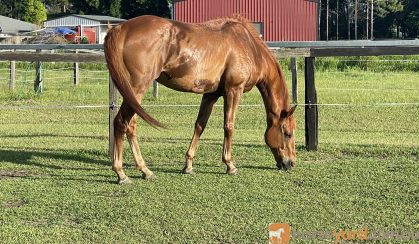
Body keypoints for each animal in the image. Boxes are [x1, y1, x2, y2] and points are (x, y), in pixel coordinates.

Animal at [103, 14, 296, 183]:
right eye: (287, 133)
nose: (291, 163)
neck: (248, 46)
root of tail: (120, 29)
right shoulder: (234, 90)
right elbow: (229, 126)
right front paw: (230, 165)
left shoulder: (210, 95)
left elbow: (199, 125)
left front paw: (188, 165)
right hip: (137, 89)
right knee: (121, 122)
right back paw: (121, 173)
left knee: (131, 126)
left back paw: (144, 170)